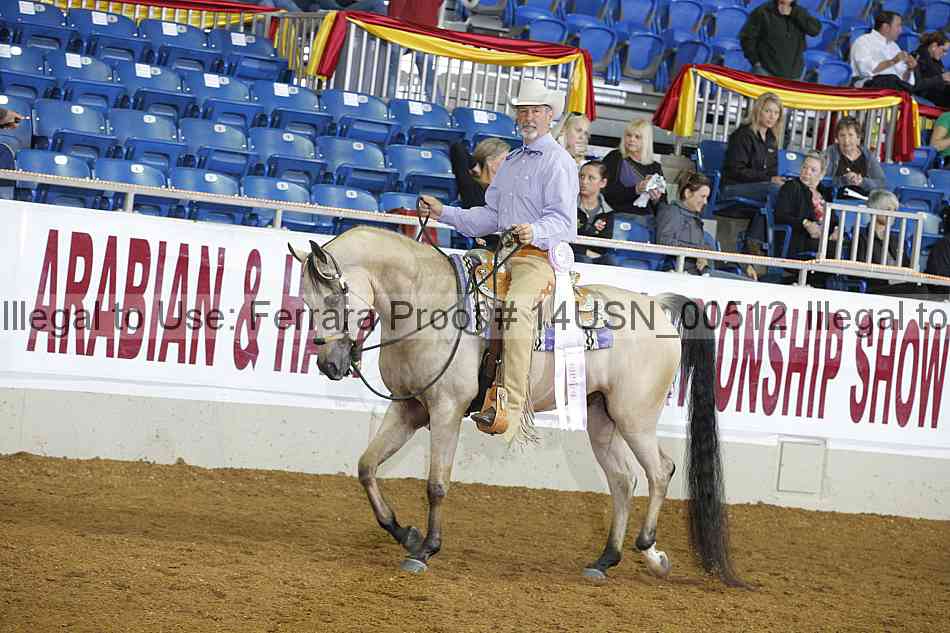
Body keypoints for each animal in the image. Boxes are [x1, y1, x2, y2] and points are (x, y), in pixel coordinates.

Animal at [289, 227, 741, 585]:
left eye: (335, 298)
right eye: (308, 303)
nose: (328, 364)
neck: (428, 305)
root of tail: (659, 305)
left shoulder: (446, 409)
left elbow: (436, 484)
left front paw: (425, 549)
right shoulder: (409, 409)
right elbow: (366, 467)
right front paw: (407, 533)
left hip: (636, 417)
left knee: (660, 471)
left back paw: (650, 551)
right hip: (601, 416)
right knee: (622, 480)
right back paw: (604, 560)